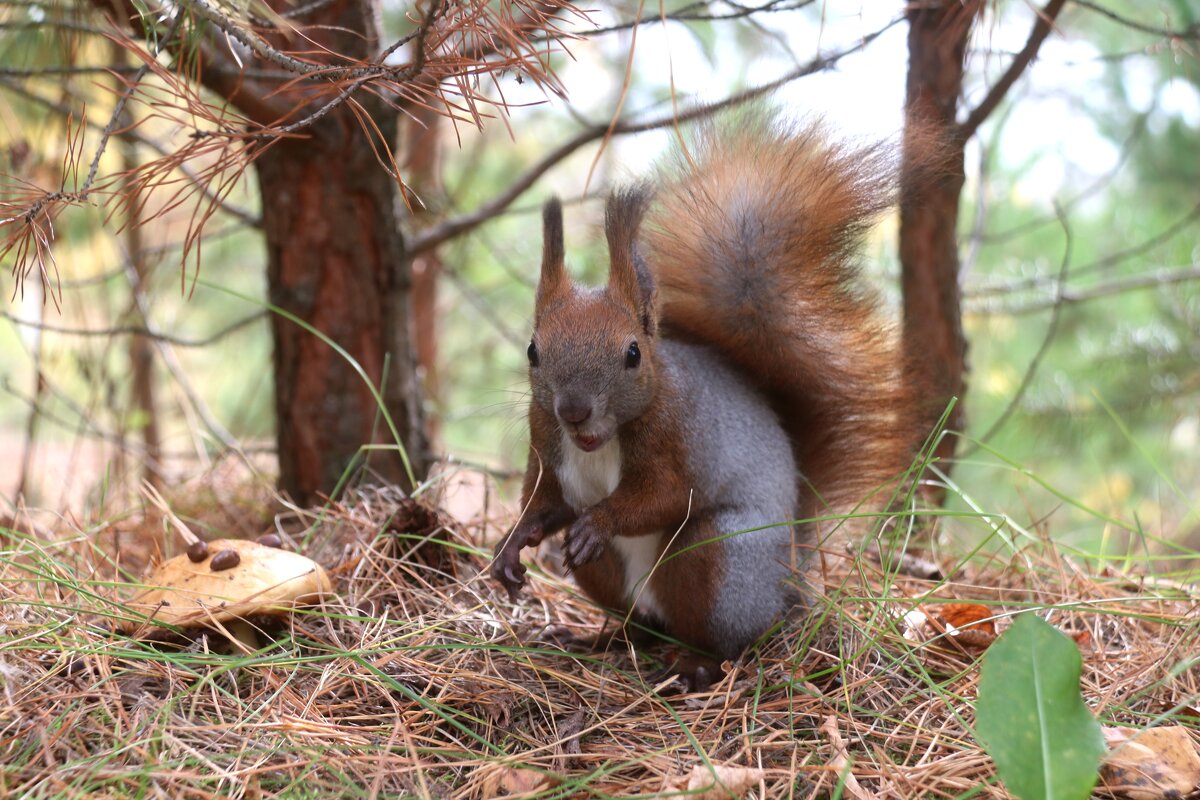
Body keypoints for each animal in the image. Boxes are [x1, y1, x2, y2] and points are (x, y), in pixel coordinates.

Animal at [492, 117, 921, 690]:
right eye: (533, 350)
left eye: (633, 353)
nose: (574, 411)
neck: (601, 441)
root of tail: (791, 585)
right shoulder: (546, 444)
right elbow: (544, 504)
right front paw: (512, 545)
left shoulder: (681, 438)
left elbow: (666, 497)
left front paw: (599, 522)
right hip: (610, 576)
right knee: (641, 626)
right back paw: (600, 639)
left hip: (719, 558)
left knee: (729, 640)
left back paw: (696, 666)